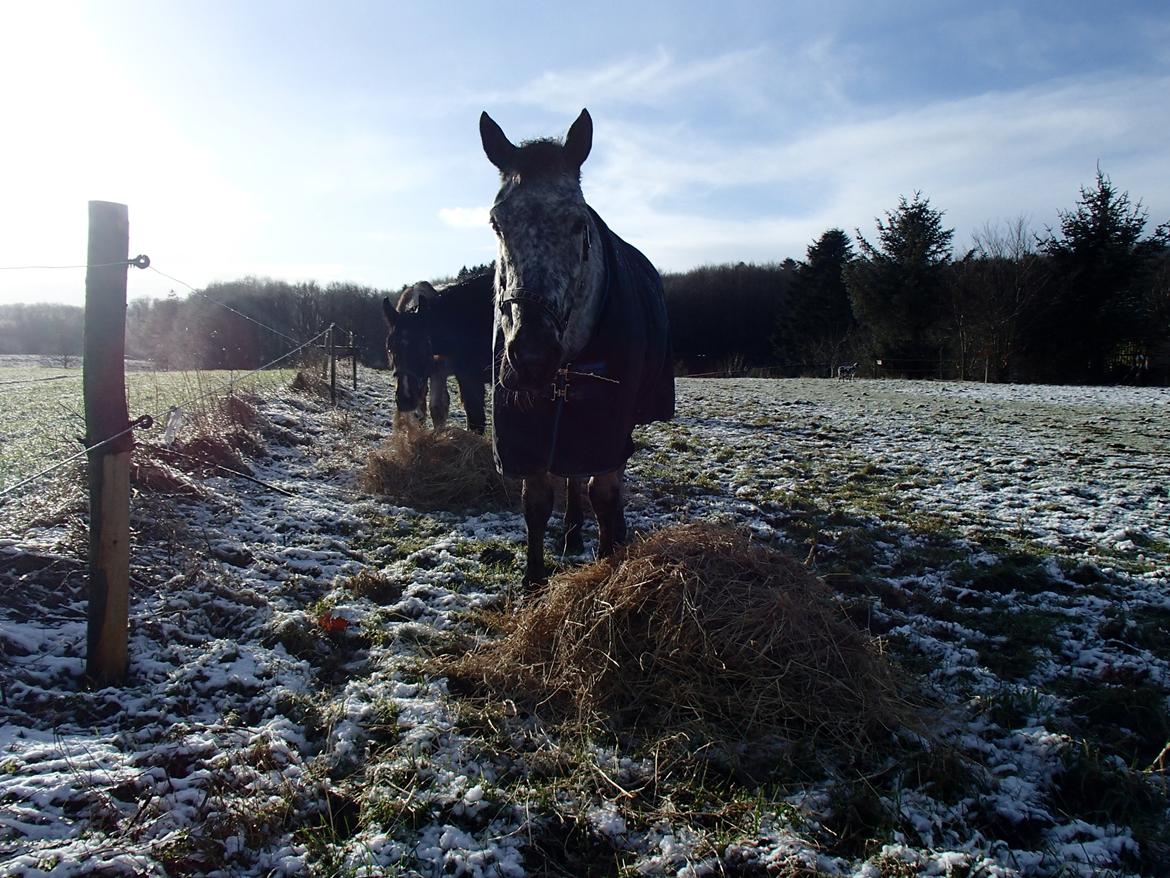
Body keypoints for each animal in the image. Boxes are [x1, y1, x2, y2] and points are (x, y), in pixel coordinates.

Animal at [477, 110, 678, 587]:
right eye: (497, 222)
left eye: (578, 223)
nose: (531, 356)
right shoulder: (528, 430)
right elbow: (536, 502)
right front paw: (534, 581)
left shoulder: (607, 422)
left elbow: (603, 492)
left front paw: (609, 560)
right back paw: (570, 534)